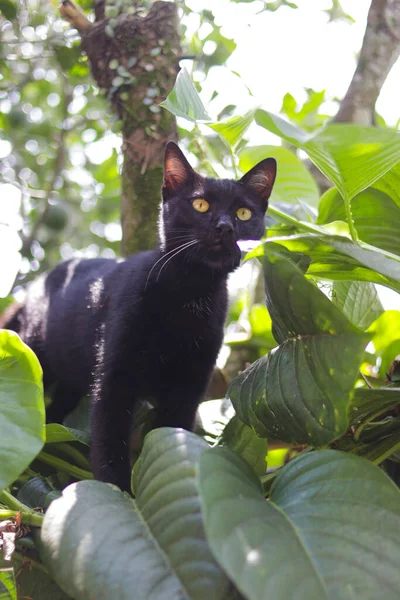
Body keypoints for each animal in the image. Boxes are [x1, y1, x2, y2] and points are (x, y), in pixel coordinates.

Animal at [0, 143, 276, 490]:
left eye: (243, 213)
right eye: (200, 205)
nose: (225, 227)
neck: (188, 295)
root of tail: (36, 285)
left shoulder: (188, 389)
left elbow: (171, 435)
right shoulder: (115, 381)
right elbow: (110, 445)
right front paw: (118, 494)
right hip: (33, 357)